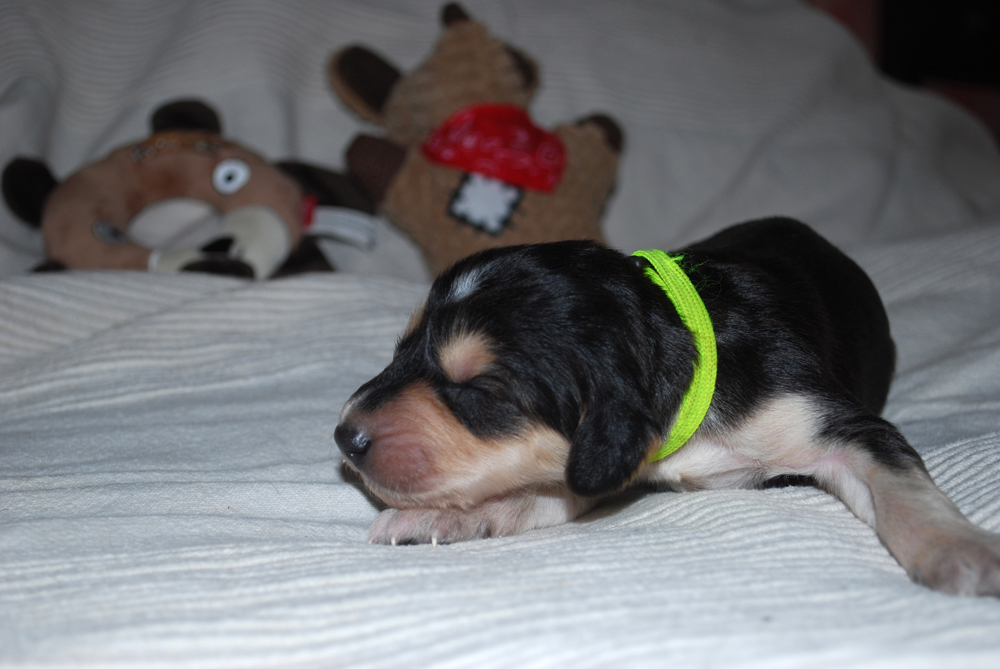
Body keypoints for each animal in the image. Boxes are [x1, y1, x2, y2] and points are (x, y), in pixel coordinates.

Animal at [336, 217, 1000, 596]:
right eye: (401, 349)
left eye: (479, 389)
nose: (344, 439)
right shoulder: (606, 454)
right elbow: (540, 488)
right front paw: (439, 516)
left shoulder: (836, 425)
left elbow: (901, 488)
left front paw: (963, 553)